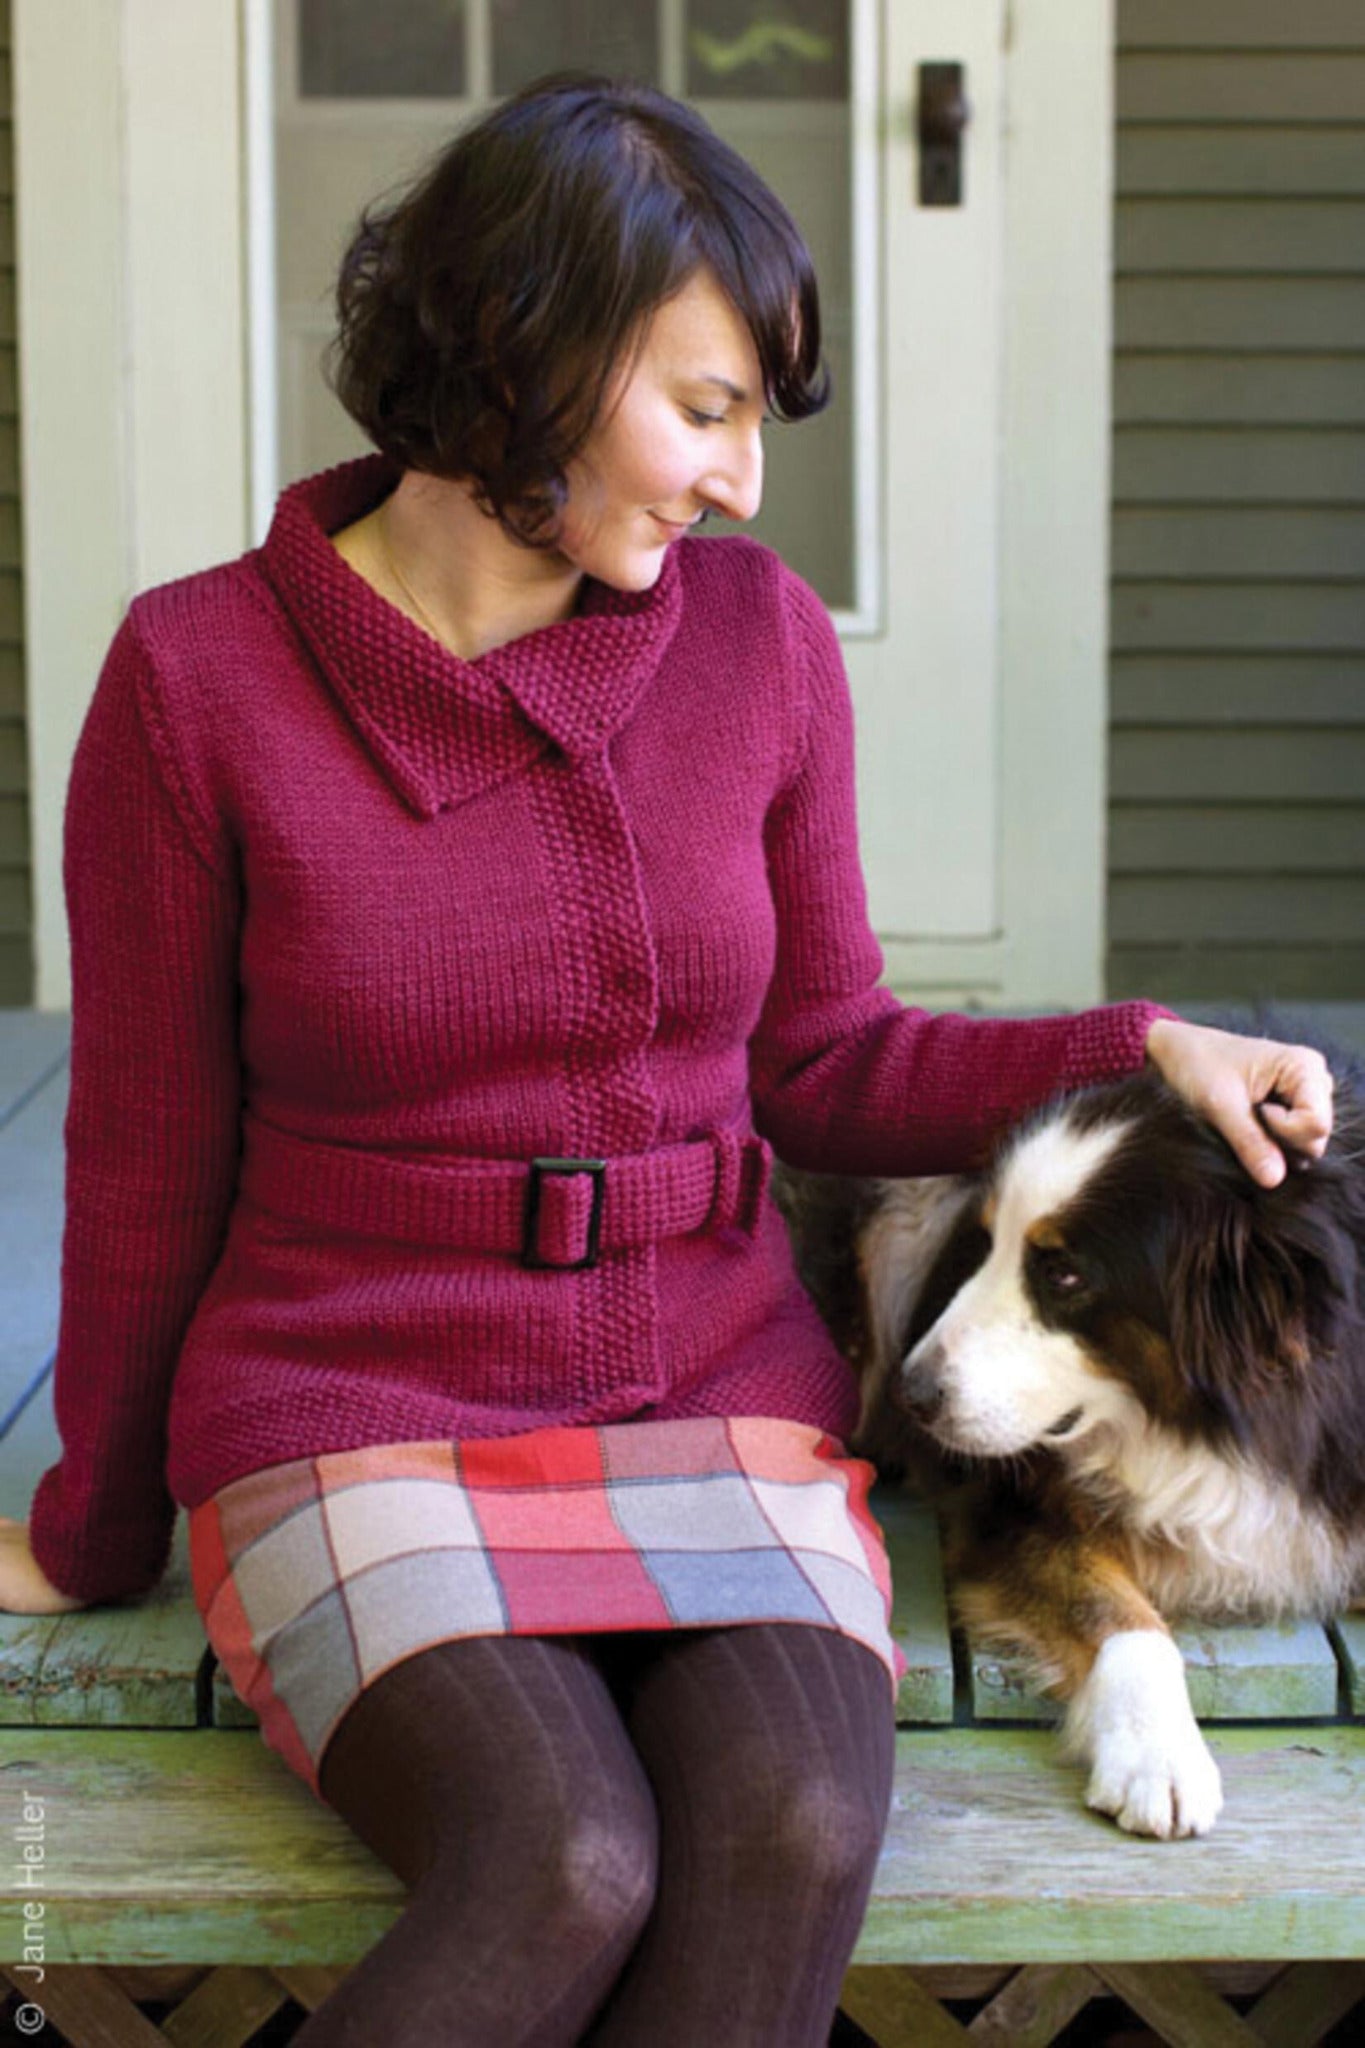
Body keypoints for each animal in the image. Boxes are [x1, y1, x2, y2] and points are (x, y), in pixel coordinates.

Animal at [777, 1056, 1365, 1843]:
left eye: (1063, 1275)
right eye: (983, 1243)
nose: (914, 1394)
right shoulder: (1011, 1504)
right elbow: (1119, 1617)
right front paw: (1158, 1756)